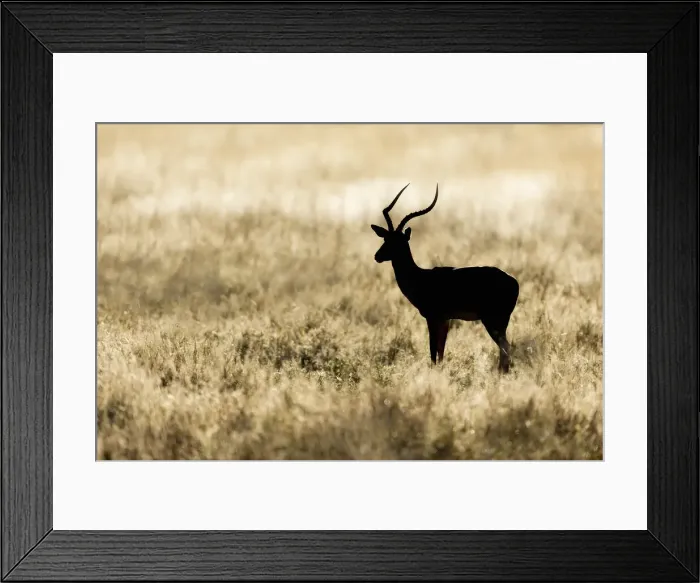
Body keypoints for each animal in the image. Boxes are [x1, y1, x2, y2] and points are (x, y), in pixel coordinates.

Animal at [371, 183, 520, 372]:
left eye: (397, 241)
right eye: (385, 238)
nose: (377, 256)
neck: (420, 277)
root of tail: (513, 281)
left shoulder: (433, 317)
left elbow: (433, 351)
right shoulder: (446, 319)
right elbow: (441, 351)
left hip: (492, 320)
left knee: (505, 347)